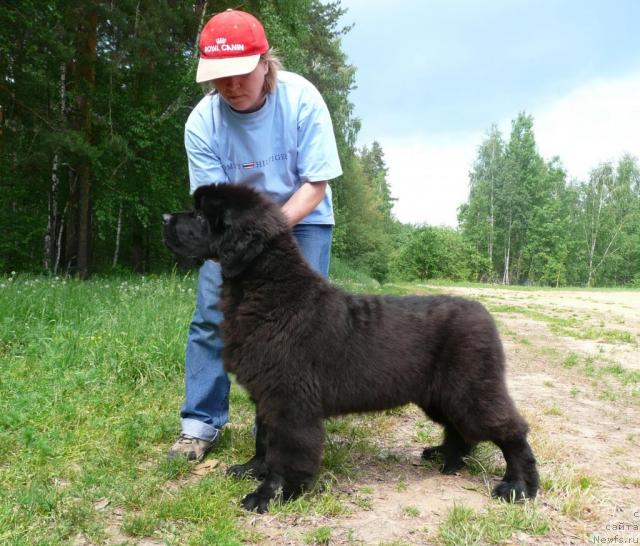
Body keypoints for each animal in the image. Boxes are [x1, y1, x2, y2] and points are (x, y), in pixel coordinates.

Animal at [162, 183, 536, 510]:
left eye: (200, 216)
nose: (164, 217)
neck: (268, 292)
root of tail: (483, 311)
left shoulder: (289, 401)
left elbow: (285, 450)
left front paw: (270, 494)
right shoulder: (267, 395)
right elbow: (264, 440)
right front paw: (252, 470)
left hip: (471, 391)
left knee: (512, 430)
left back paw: (519, 487)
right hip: (439, 395)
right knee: (460, 429)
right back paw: (447, 458)